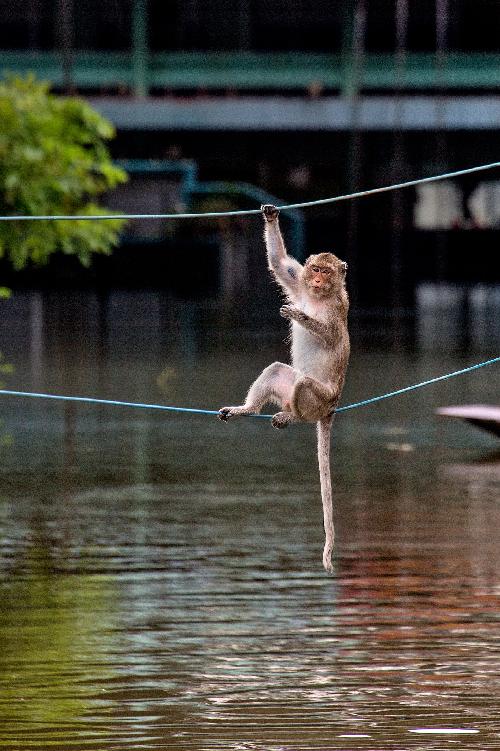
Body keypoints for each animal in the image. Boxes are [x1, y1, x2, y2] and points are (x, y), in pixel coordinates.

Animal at [217, 203, 350, 572]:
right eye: (315, 269)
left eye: (326, 273)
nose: (316, 279)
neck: (319, 296)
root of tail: (333, 405)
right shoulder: (300, 286)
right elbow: (281, 265)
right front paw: (271, 215)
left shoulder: (338, 308)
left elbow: (331, 335)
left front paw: (301, 317)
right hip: (289, 390)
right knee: (278, 371)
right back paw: (249, 410)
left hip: (321, 399)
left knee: (304, 384)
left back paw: (293, 418)